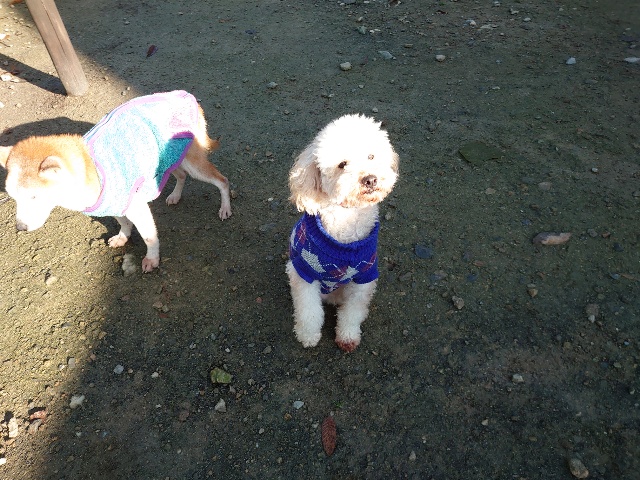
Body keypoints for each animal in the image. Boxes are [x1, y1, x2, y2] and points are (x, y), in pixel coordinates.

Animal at [0, 90, 231, 273]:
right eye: (13, 197)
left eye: (34, 197)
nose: (20, 227)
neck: (90, 171)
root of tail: (184, 94)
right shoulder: (113, 203)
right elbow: (123, 222)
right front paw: (123, 237)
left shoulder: (136, 205)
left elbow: (149, 236)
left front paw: (152, 258)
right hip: (169, 158)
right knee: (182, 175)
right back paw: (175, 195)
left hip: (193, 162)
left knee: (222, 180)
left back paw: (225, 207)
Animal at [286, 114, 399, 352]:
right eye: (342, 164)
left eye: (371, 156)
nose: (370, 179)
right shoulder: (304, 274)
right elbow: (309, 312)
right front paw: (308, 336)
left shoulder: (364, 278)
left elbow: (353, 312)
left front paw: (347, 337)